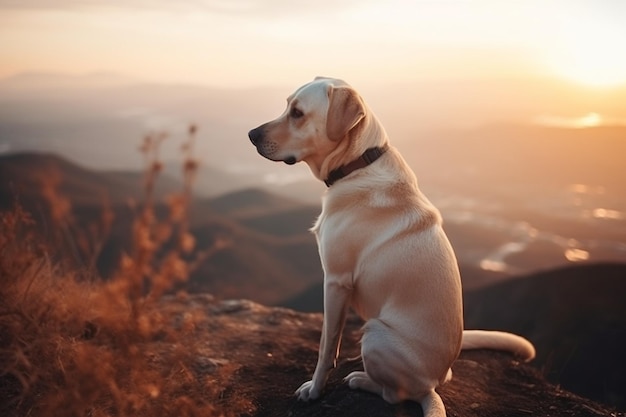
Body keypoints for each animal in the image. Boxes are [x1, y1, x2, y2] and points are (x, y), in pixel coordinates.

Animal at [246, 78, 532, 416]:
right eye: (287, 105)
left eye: (298, 113)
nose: (251, 135)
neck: (357, 164)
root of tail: (434, 382)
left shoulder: (336, 281)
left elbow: (326, 348)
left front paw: (314, 390)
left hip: (376, 334)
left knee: (396, 394)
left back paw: (361, 379)